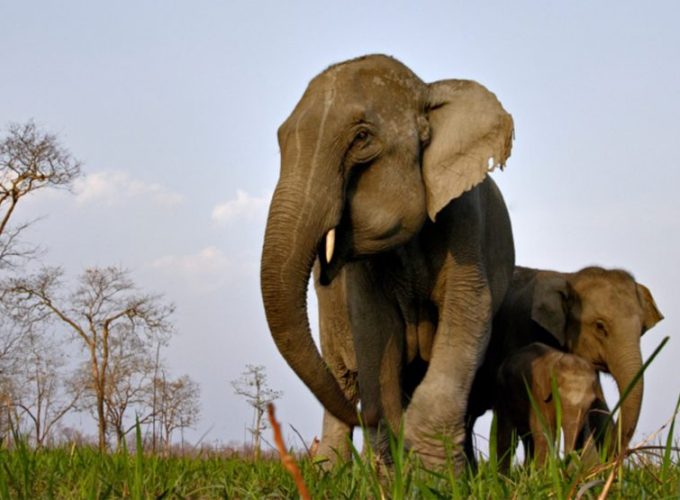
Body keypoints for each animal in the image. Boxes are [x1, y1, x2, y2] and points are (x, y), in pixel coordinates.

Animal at [261, 54, 516, 468]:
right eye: (281, 141)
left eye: (362, 138)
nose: (368, 418)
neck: (427, 91)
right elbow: (374, 327)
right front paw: (395, 468)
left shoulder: (465, 219)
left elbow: (468, 310)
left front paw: (433, 471)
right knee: (343, 377)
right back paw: (329, 470)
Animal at [494, 342, 598, 471]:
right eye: (560, 399)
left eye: (592, 402)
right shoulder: (538, 392)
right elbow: (545, 431)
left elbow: (585, 434)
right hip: (502, 392)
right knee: (506, 438)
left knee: (527, 440)